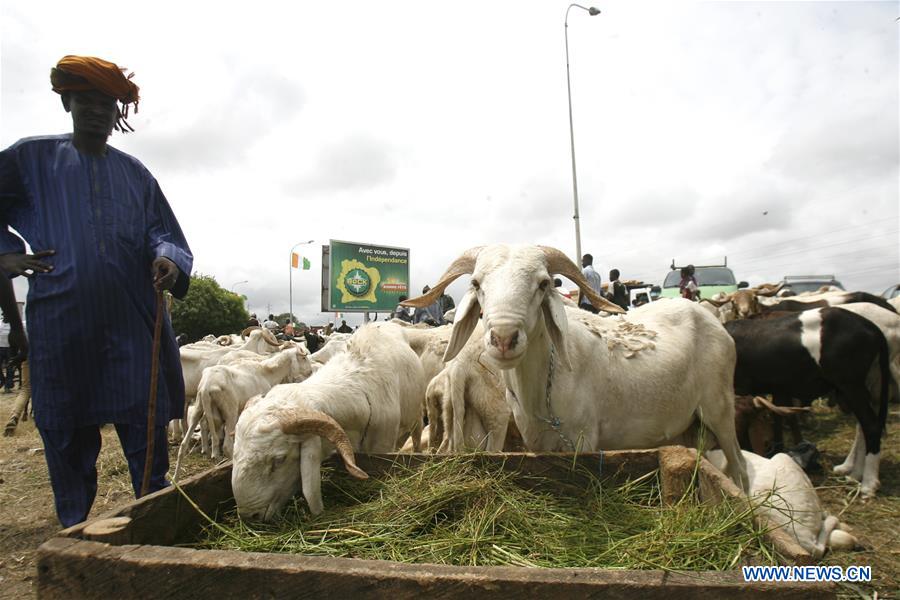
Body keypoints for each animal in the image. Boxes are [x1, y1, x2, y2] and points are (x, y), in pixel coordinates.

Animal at [728, 304, 888, 496]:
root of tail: (871, 327)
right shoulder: (777, 390)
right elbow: (778, 419)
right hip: (862, 385)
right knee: (862, 427)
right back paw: (854, 473)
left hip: (851, 385)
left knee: (871, 426)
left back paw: (869, 483)